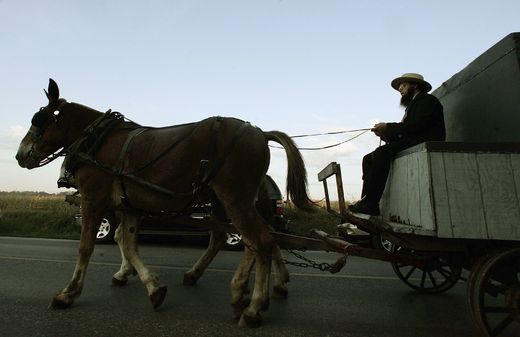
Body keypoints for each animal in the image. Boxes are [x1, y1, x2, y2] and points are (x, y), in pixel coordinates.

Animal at [16, 78, 312, 326]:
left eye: (39, 119)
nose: (20, 155)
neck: (98, 141)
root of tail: (261, 133)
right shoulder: (128, 205)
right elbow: (127, 241)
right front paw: (151, 286)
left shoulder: (93, 199)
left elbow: (86, 247)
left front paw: (68, 293)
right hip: (232, 202)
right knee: (251, 239)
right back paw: (241, 289)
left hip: (234, 199)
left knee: (259, 241)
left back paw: (252, 306)